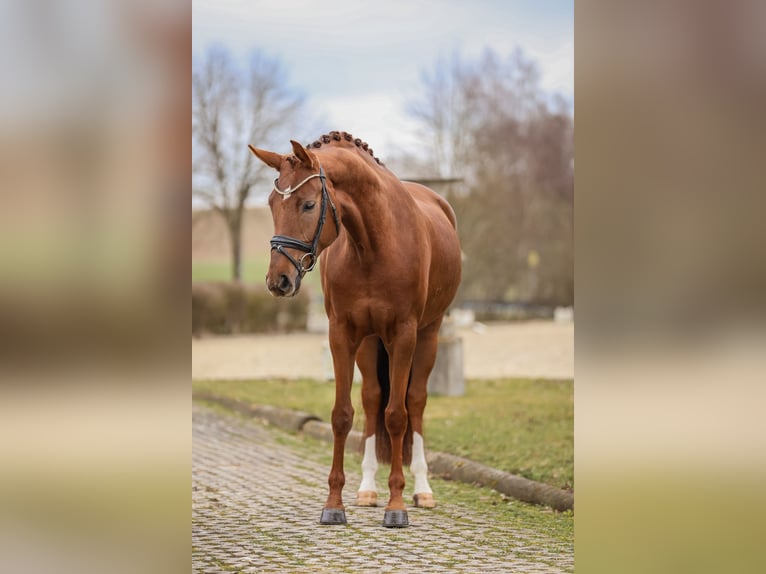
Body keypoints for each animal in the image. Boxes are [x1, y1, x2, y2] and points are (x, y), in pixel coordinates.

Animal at [249, 131, 462, 528]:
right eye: (271, 204)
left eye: (308, 204)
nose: (278, 281)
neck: (374, 245)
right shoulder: (342, 335)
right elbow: (343, 414)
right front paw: (335, 503)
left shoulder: (404, 335)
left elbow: (397, 416)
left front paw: (397, 506)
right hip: (370, 342)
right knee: (372, 398)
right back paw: (367, 488)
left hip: (428, 335)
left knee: (415, 401)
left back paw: (423, 489)